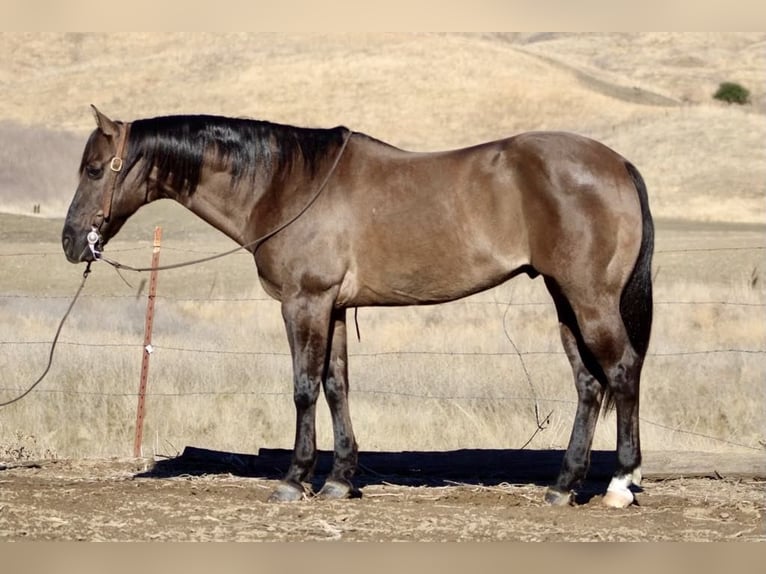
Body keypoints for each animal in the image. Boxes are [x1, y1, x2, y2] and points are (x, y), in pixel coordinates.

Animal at [63, 107, 656, 508]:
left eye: (93, 169)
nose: (71, 242)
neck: (285, 183)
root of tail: (619, 163)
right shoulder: (334, 307)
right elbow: (336, 386)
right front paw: (339, 479)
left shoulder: (303, 303)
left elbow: (304, 388)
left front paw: (295, 479)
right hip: (564, 298)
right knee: (589, 384)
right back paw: (563, 486)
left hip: (589, 298)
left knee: (622, 371)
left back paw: (621, 483)